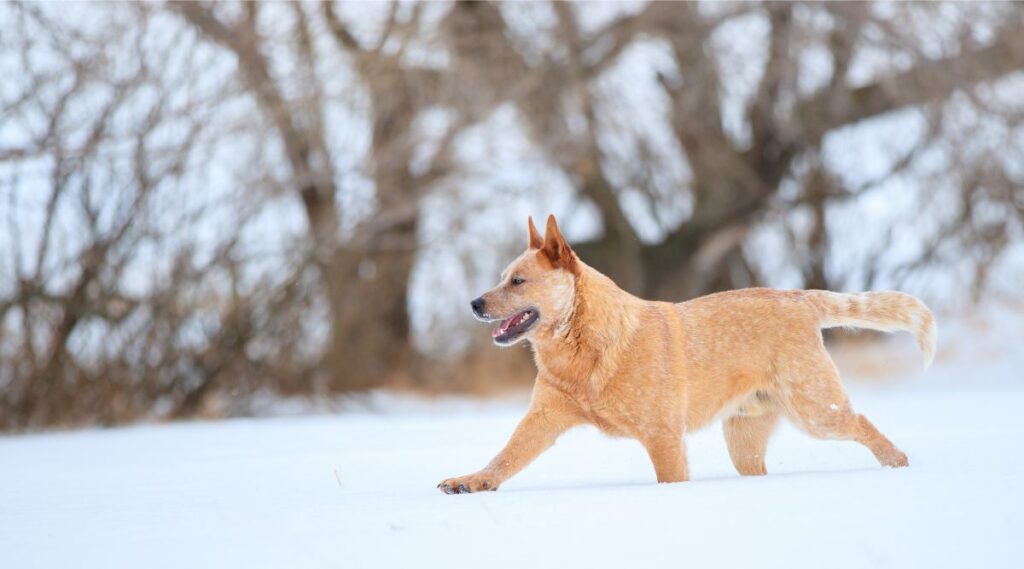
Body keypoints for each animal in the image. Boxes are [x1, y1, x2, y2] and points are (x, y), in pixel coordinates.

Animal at [436, 214, 933, 493]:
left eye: (517, 281)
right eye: (501, 277)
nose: (474, 303)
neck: (583, 346)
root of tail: (798, 297)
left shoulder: (663, 435)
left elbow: (671, 480)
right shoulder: (542, 417)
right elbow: (503, 458)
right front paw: (470, 481)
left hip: (815, 409)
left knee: (862, 423)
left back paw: (898, 466)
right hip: (744, 438)